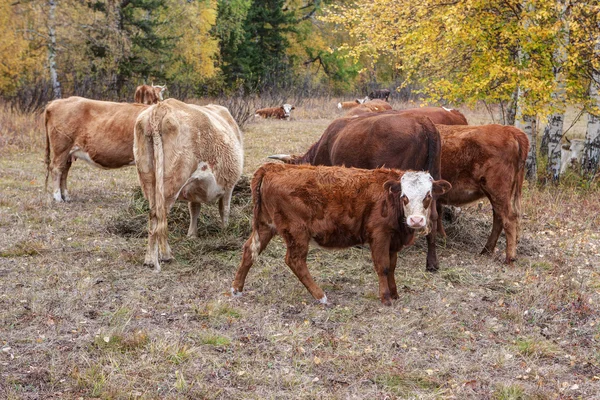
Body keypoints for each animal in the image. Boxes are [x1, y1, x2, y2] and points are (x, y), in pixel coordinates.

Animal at [134, 98, 244, 270]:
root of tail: (160, 108)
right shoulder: (229, 186)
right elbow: (224, 209)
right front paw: (225, 231)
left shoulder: (194, 191)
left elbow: (194, 209)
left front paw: (192, 235)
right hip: (171, 182)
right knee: (160, 215)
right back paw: (166, 255)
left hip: (148, 179)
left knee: (153, 215)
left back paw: (150, 259)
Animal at [230, 164, 450, 304]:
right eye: (404, 196)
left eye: (428, 196)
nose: (416, 220)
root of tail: (273, 167)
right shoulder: (379, 235)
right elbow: (383, 267)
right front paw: (386, 297)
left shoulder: (393, 240)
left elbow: (392, 267)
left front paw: (394, 293)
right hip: (296, 231)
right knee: (295, 260)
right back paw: (320, 296)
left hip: (265, 226)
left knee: (249, 250)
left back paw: (236, 289)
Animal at [434, 123, 528, 264]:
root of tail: (508, 129)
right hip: (494, 194)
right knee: (499, 218)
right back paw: (486, 251)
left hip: (498, 191)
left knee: (509, 219)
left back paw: (509, 258)